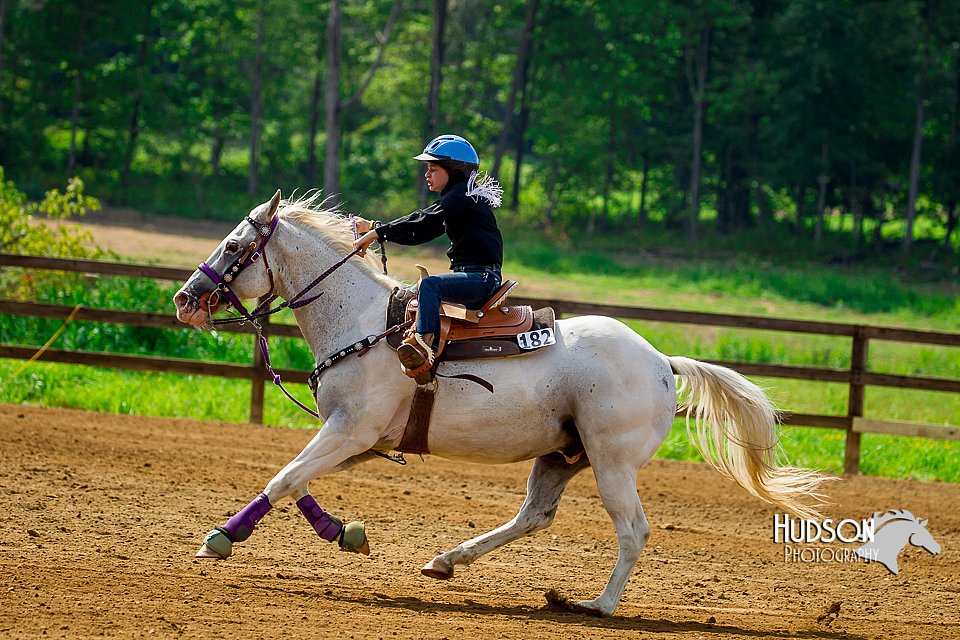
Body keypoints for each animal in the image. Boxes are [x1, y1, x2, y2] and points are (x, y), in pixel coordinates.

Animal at [171, 192, 824, 616]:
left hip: (612, 462)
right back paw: (447, 560)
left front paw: (221, 538)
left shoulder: (351, 430)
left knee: (633, 529)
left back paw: (599, 604)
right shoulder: (356, 438)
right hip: (561, 456)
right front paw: (343, 532)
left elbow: (283, 479)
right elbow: (298, 480)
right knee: (535, 516)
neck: (362, 322)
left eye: (234, 245)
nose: (184, 299)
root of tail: (663, 362)